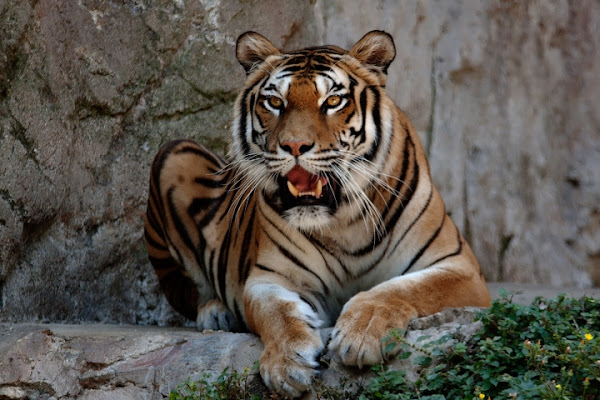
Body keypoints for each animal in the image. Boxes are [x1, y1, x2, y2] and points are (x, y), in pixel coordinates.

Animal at [145, 30, 492, 396]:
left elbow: (402, 289)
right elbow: (277, 312)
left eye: (333, 101)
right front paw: (286, 364)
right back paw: (215, 313)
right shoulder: (269, 278)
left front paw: (361, 333)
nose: (294, 146)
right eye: (275, 103)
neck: (344, 222)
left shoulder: (459, 268)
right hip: (174, 153)